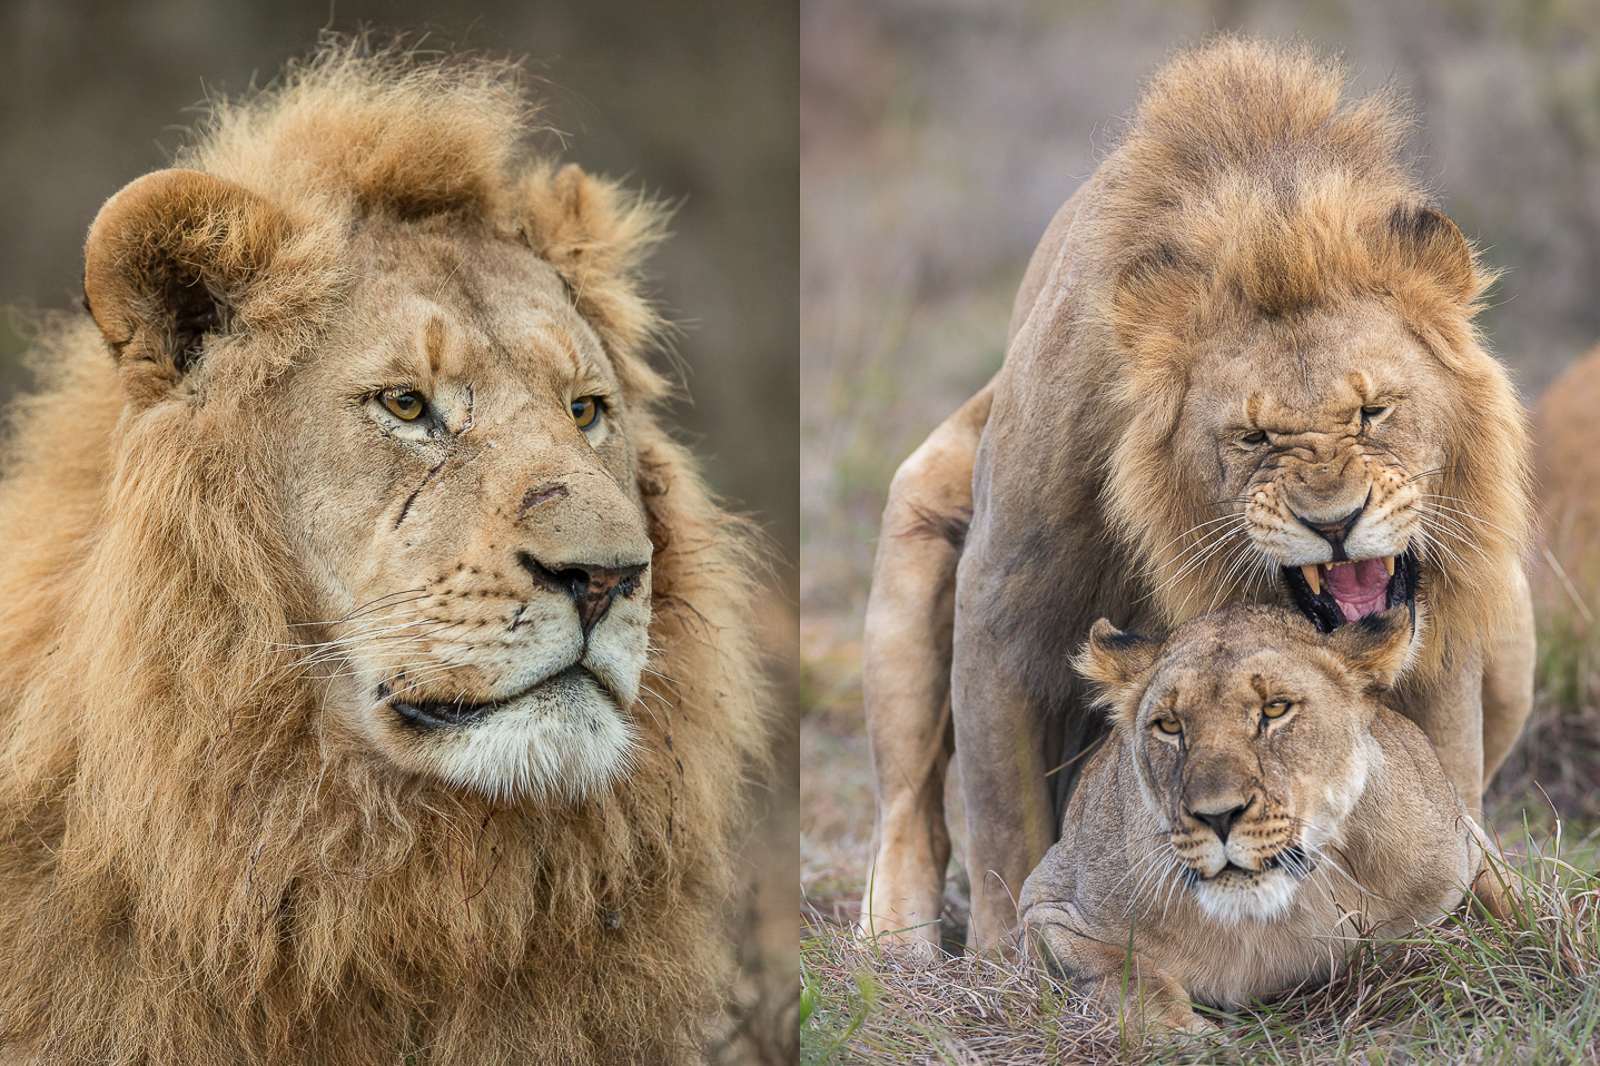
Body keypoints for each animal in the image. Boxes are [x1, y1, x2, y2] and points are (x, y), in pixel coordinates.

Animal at [864, 39, 1536, 953]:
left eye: (1372, 412)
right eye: (1252, 438)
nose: (1335, 523)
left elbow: (1443, 777)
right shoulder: (1005, 601)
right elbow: (1004, 830)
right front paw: (1007, 966)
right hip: (918, 523)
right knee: (910, 811)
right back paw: (893, 946)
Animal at [1017, 605, 1504, 1030]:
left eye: (1275, 709)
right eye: (1170, 726)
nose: (1218, 816)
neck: (1272, 920)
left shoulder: (1463, 845)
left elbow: (1508, 898)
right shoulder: (1045, 907)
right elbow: (1125, 972)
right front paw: (1182, 1035)